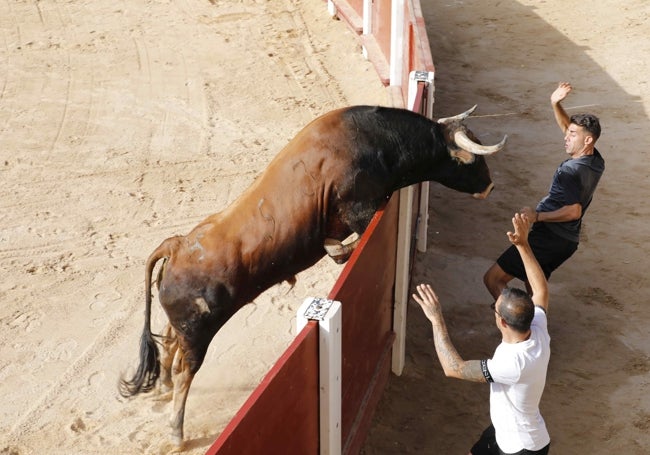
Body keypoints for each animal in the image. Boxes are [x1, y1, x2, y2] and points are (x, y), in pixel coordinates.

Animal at [121, 104, 506, 446]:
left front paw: (335, 249)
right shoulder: (359, 210)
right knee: (186, 370)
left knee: (170, 341)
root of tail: (177, 245)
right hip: (199, 331)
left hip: (185, 325)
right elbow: (350, 240)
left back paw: (163, 386)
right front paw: (336, 250)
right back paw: (176, 430)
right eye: (473, 159)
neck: (380, 140)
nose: (490, 186)